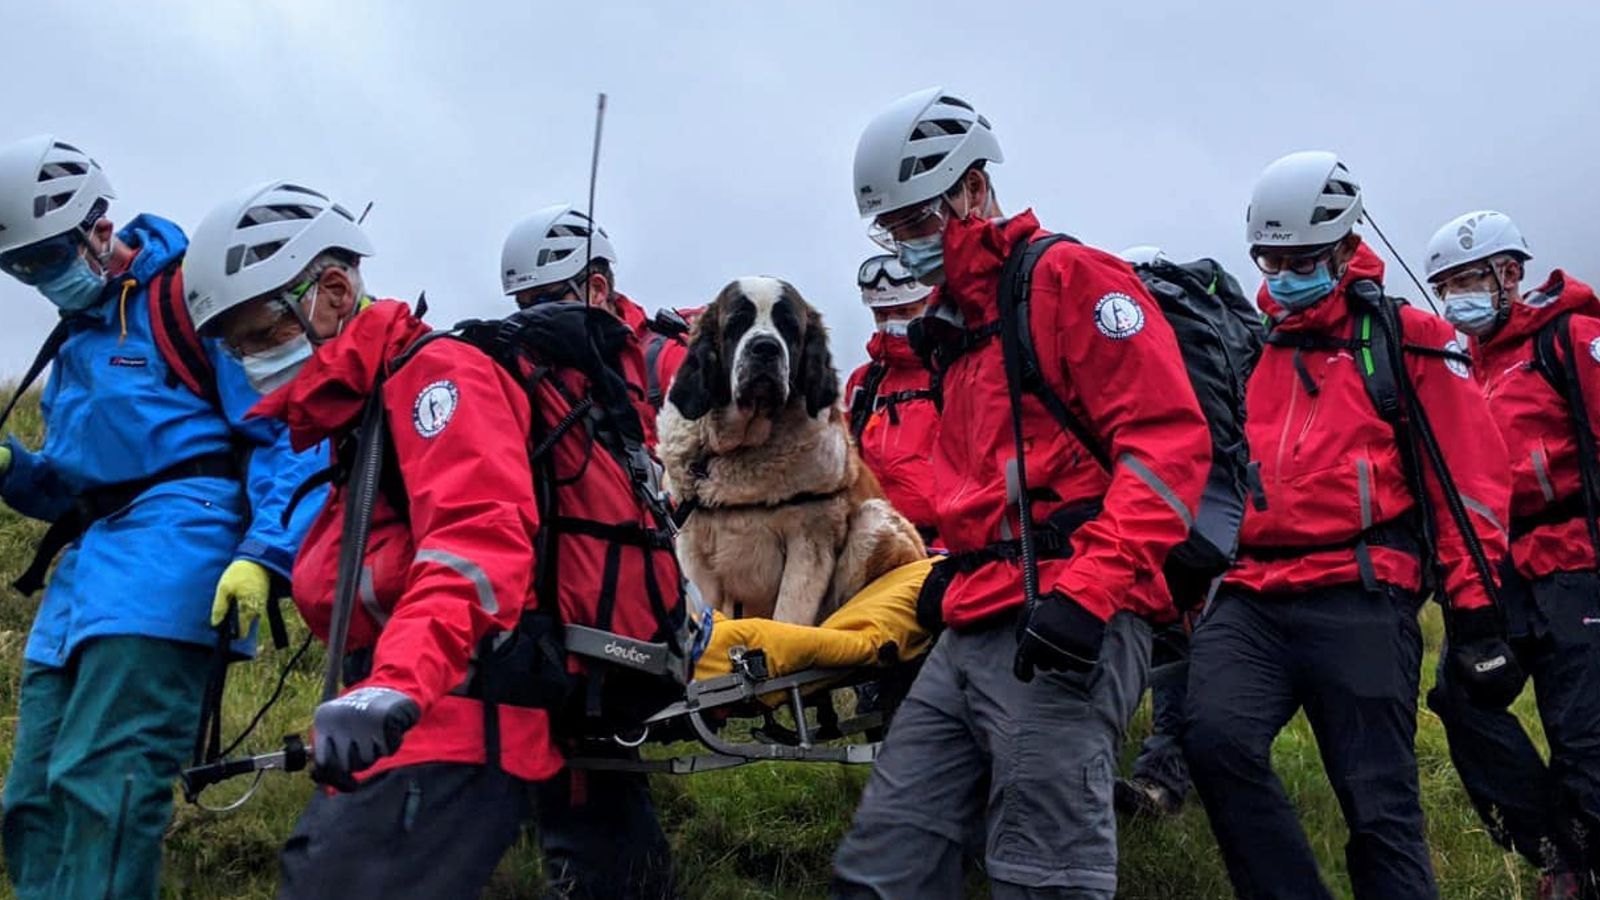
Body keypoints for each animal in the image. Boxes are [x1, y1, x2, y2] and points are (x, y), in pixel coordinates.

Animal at [659, 275, 928, 624]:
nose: (765, 347)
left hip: (875, 522)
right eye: (736, 323)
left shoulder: (809, 540)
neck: (742, 449)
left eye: (788, 327)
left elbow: (789, 616)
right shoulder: (693, 549)